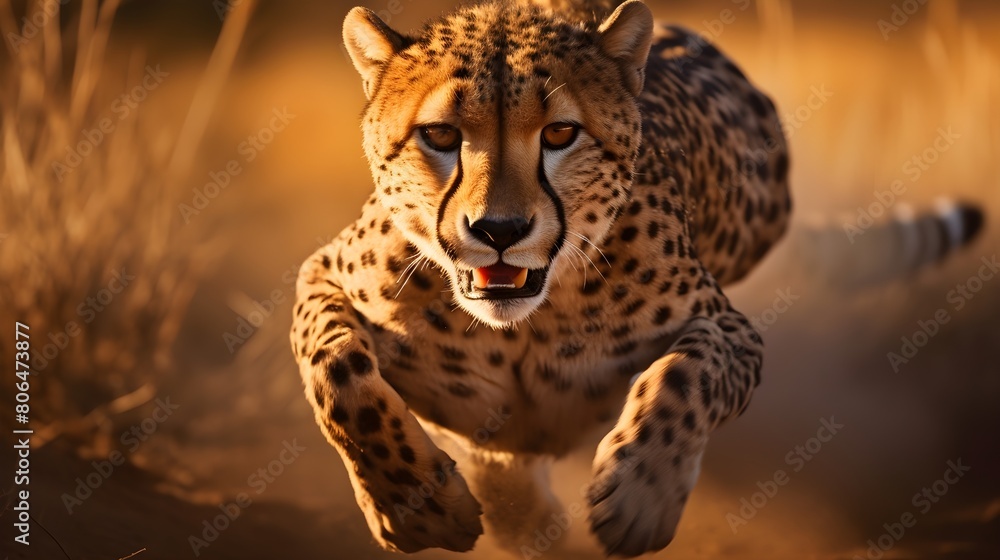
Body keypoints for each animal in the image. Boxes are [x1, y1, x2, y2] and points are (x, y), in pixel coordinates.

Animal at [289, 0, 795, 556]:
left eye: (559, 134)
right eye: (440, 135)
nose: (499, 229)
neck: (522, 325)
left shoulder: (727, 325)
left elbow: (686, 368)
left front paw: (641, 495)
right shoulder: (322, 272)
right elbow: (337, 371)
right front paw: (419, 510)